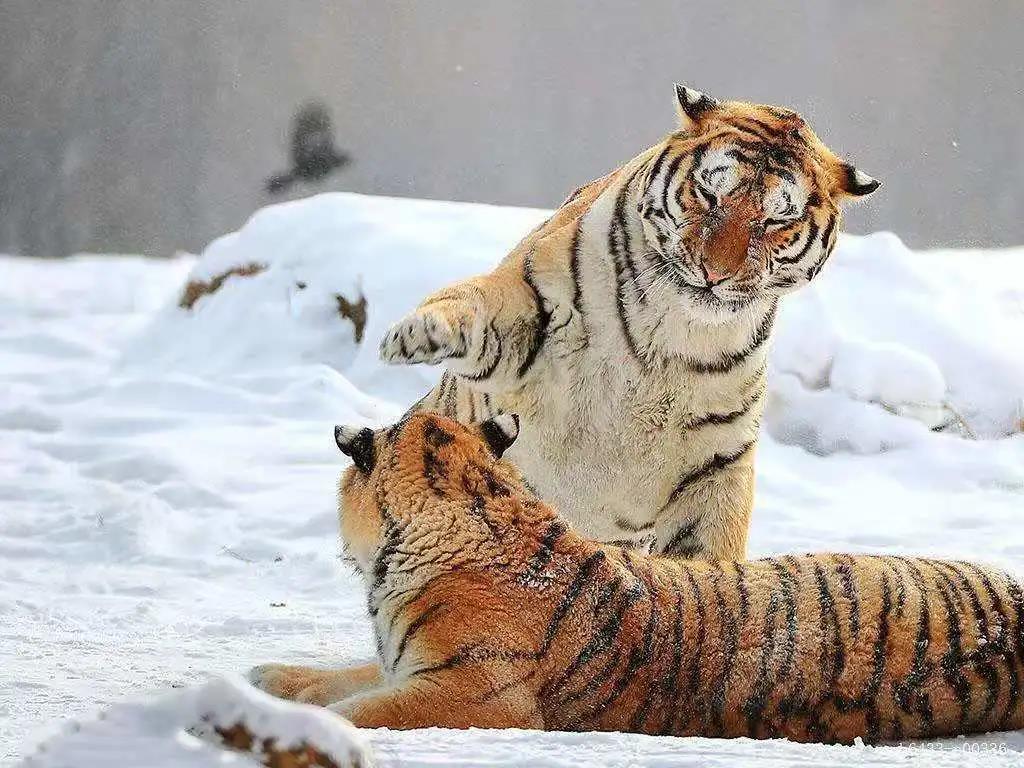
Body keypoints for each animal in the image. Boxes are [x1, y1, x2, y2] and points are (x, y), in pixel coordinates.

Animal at [376, 83, 880, 561]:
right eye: (708, 193)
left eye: (777, 220)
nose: (714, 272)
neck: (676, 334)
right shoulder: (528, 308)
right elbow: (475, 305)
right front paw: (417, 334)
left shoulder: (716, 464)